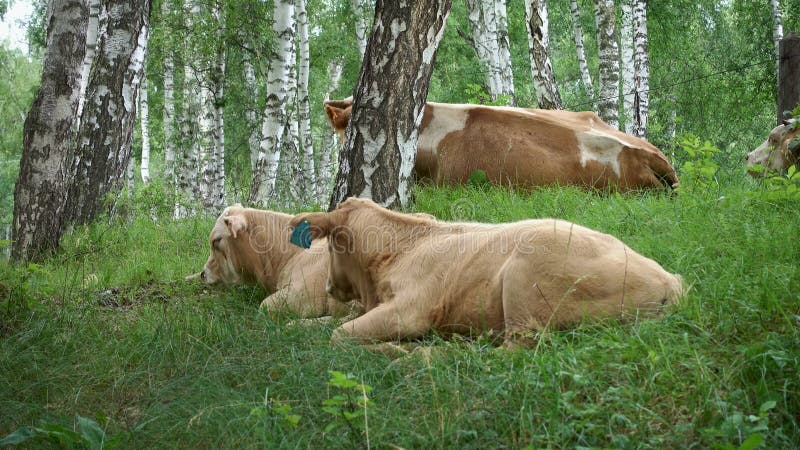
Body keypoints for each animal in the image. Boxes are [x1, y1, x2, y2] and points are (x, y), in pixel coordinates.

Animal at [290, 195, 684, 346]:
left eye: (331, 245)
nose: (329, 287)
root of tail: (670, 281)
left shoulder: (410, 309)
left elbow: (339, 334)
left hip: (524, 283)